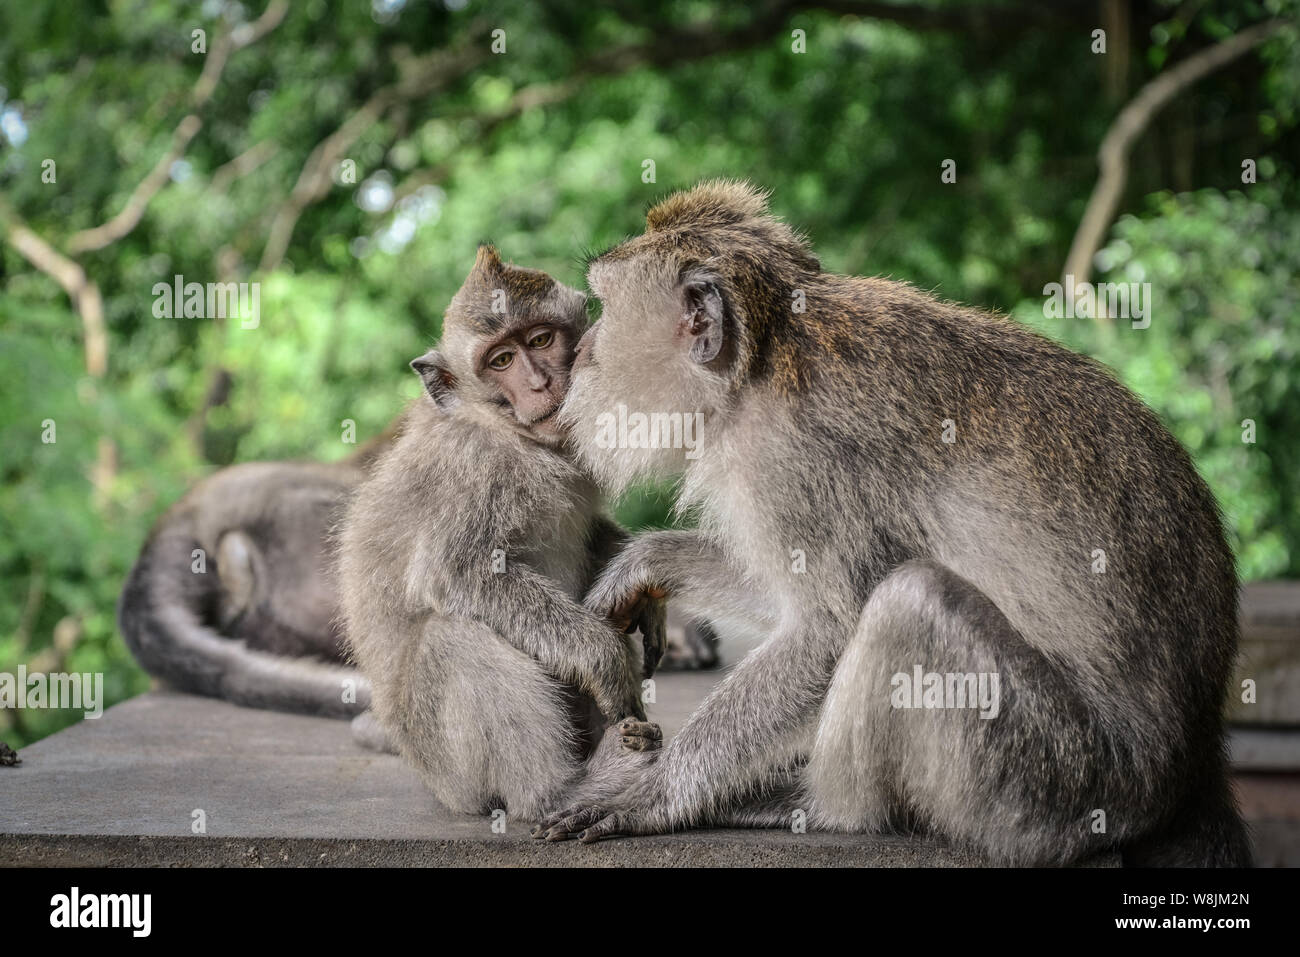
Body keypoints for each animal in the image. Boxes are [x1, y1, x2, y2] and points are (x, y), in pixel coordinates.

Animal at [337, 246, 665, 819]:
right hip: (449, 771)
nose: (540, 384)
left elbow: (593, 533)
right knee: (453, 638)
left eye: (540, 340)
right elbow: (457, 574)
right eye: (501, 362)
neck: (513, 437)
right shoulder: (474, 467)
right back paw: (561, 789)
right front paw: (604, 655)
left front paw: (641, 586)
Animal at [536, 180, 1250, 866]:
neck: (757, 365)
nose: (584, 353)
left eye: (605, 310)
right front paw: (648, 563)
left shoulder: (793, 461)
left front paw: (653, 793)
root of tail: (1190, 770)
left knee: (912, 602)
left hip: (1064, 782)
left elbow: (828, 630)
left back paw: (822, 808)